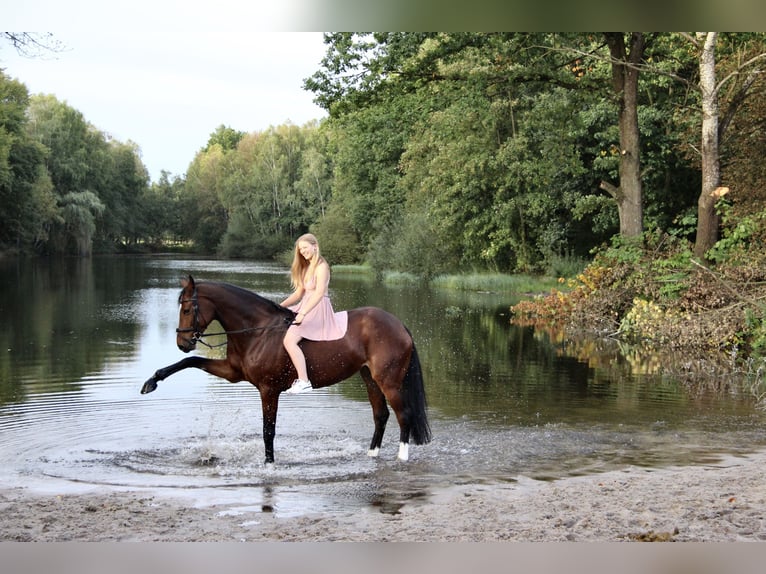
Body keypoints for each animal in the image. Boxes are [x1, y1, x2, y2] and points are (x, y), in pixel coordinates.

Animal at [141, 274, 432, 464]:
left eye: (187, 309)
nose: (182, 343)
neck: (257, 330)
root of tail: (399, 325)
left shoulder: (268, 389)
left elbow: (268, 430)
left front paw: (269, 464)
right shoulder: (232, 372)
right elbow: (189, 363)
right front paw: (152, 381)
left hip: (389, 381)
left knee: (403, 414)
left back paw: (402, 456)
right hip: (369, 378)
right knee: (381, 415)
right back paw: (371, 454)